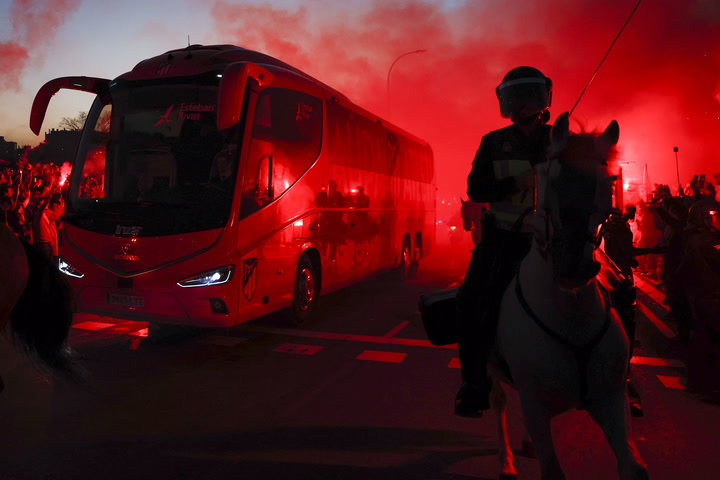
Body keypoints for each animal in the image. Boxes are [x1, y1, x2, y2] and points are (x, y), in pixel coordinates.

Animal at [490, 113, 648, 480]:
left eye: (608, 182)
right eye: (552, 178)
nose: (574, 267)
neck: (570, 316)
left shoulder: (610, 399)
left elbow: (633, 468)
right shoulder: (535, 403)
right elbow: (553, 470)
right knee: (500, 402)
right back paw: (506, 462)